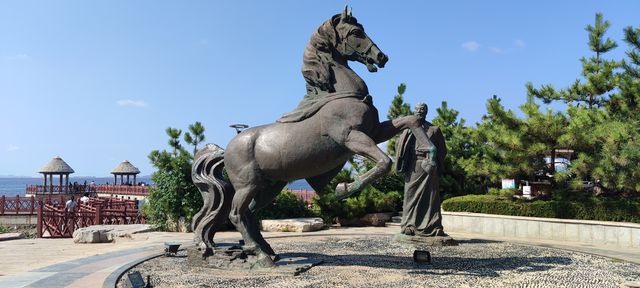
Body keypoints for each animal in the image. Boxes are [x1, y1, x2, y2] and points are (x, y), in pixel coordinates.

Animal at [191, 7, 430, 268]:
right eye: (356, 32)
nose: (381, 57)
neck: (342, 96)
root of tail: (226, 149)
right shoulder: (351, 137)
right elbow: (384, 162)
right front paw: (343, 189)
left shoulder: (375, 131)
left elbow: (410, 121)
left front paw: (429, 154)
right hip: (247, 185)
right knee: (237, 215)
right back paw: (261, 255)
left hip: (270, 187)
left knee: (251, 215)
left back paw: (269, 252)